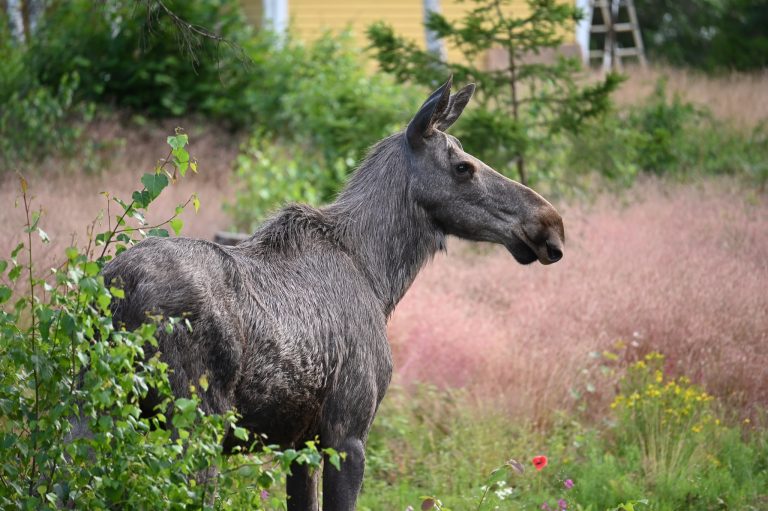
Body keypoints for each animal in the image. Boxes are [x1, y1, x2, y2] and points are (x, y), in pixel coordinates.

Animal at [102, 78, 564, 510]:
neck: (380, 279)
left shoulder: (296, 446)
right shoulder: (347, 435)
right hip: (194, 423)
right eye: (463, 167)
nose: (550, 224)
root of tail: (115, 292)